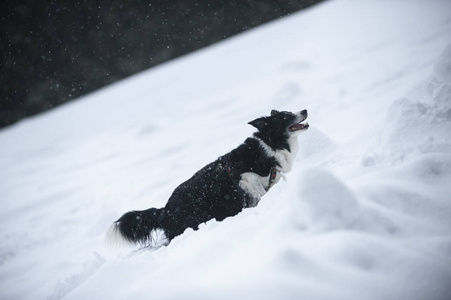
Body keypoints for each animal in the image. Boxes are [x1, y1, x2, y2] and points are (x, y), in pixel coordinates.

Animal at [107, 109, 308, 247]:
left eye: (288, 111)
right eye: (285, 117)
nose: (305, 110)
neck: (270, 144)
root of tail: (165, 210)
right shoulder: (245, 176)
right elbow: (258, 191)